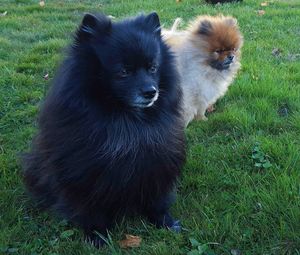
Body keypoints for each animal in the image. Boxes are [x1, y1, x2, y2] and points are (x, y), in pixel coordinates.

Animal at [23, 12, 186, 247]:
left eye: (153, 68)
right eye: (124, 72)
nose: (151, 91)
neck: (127, 121)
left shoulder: (156, 162)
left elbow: (158, 199)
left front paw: (164, 221)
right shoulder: (86, 174)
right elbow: (91, 210)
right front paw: (97, 235)